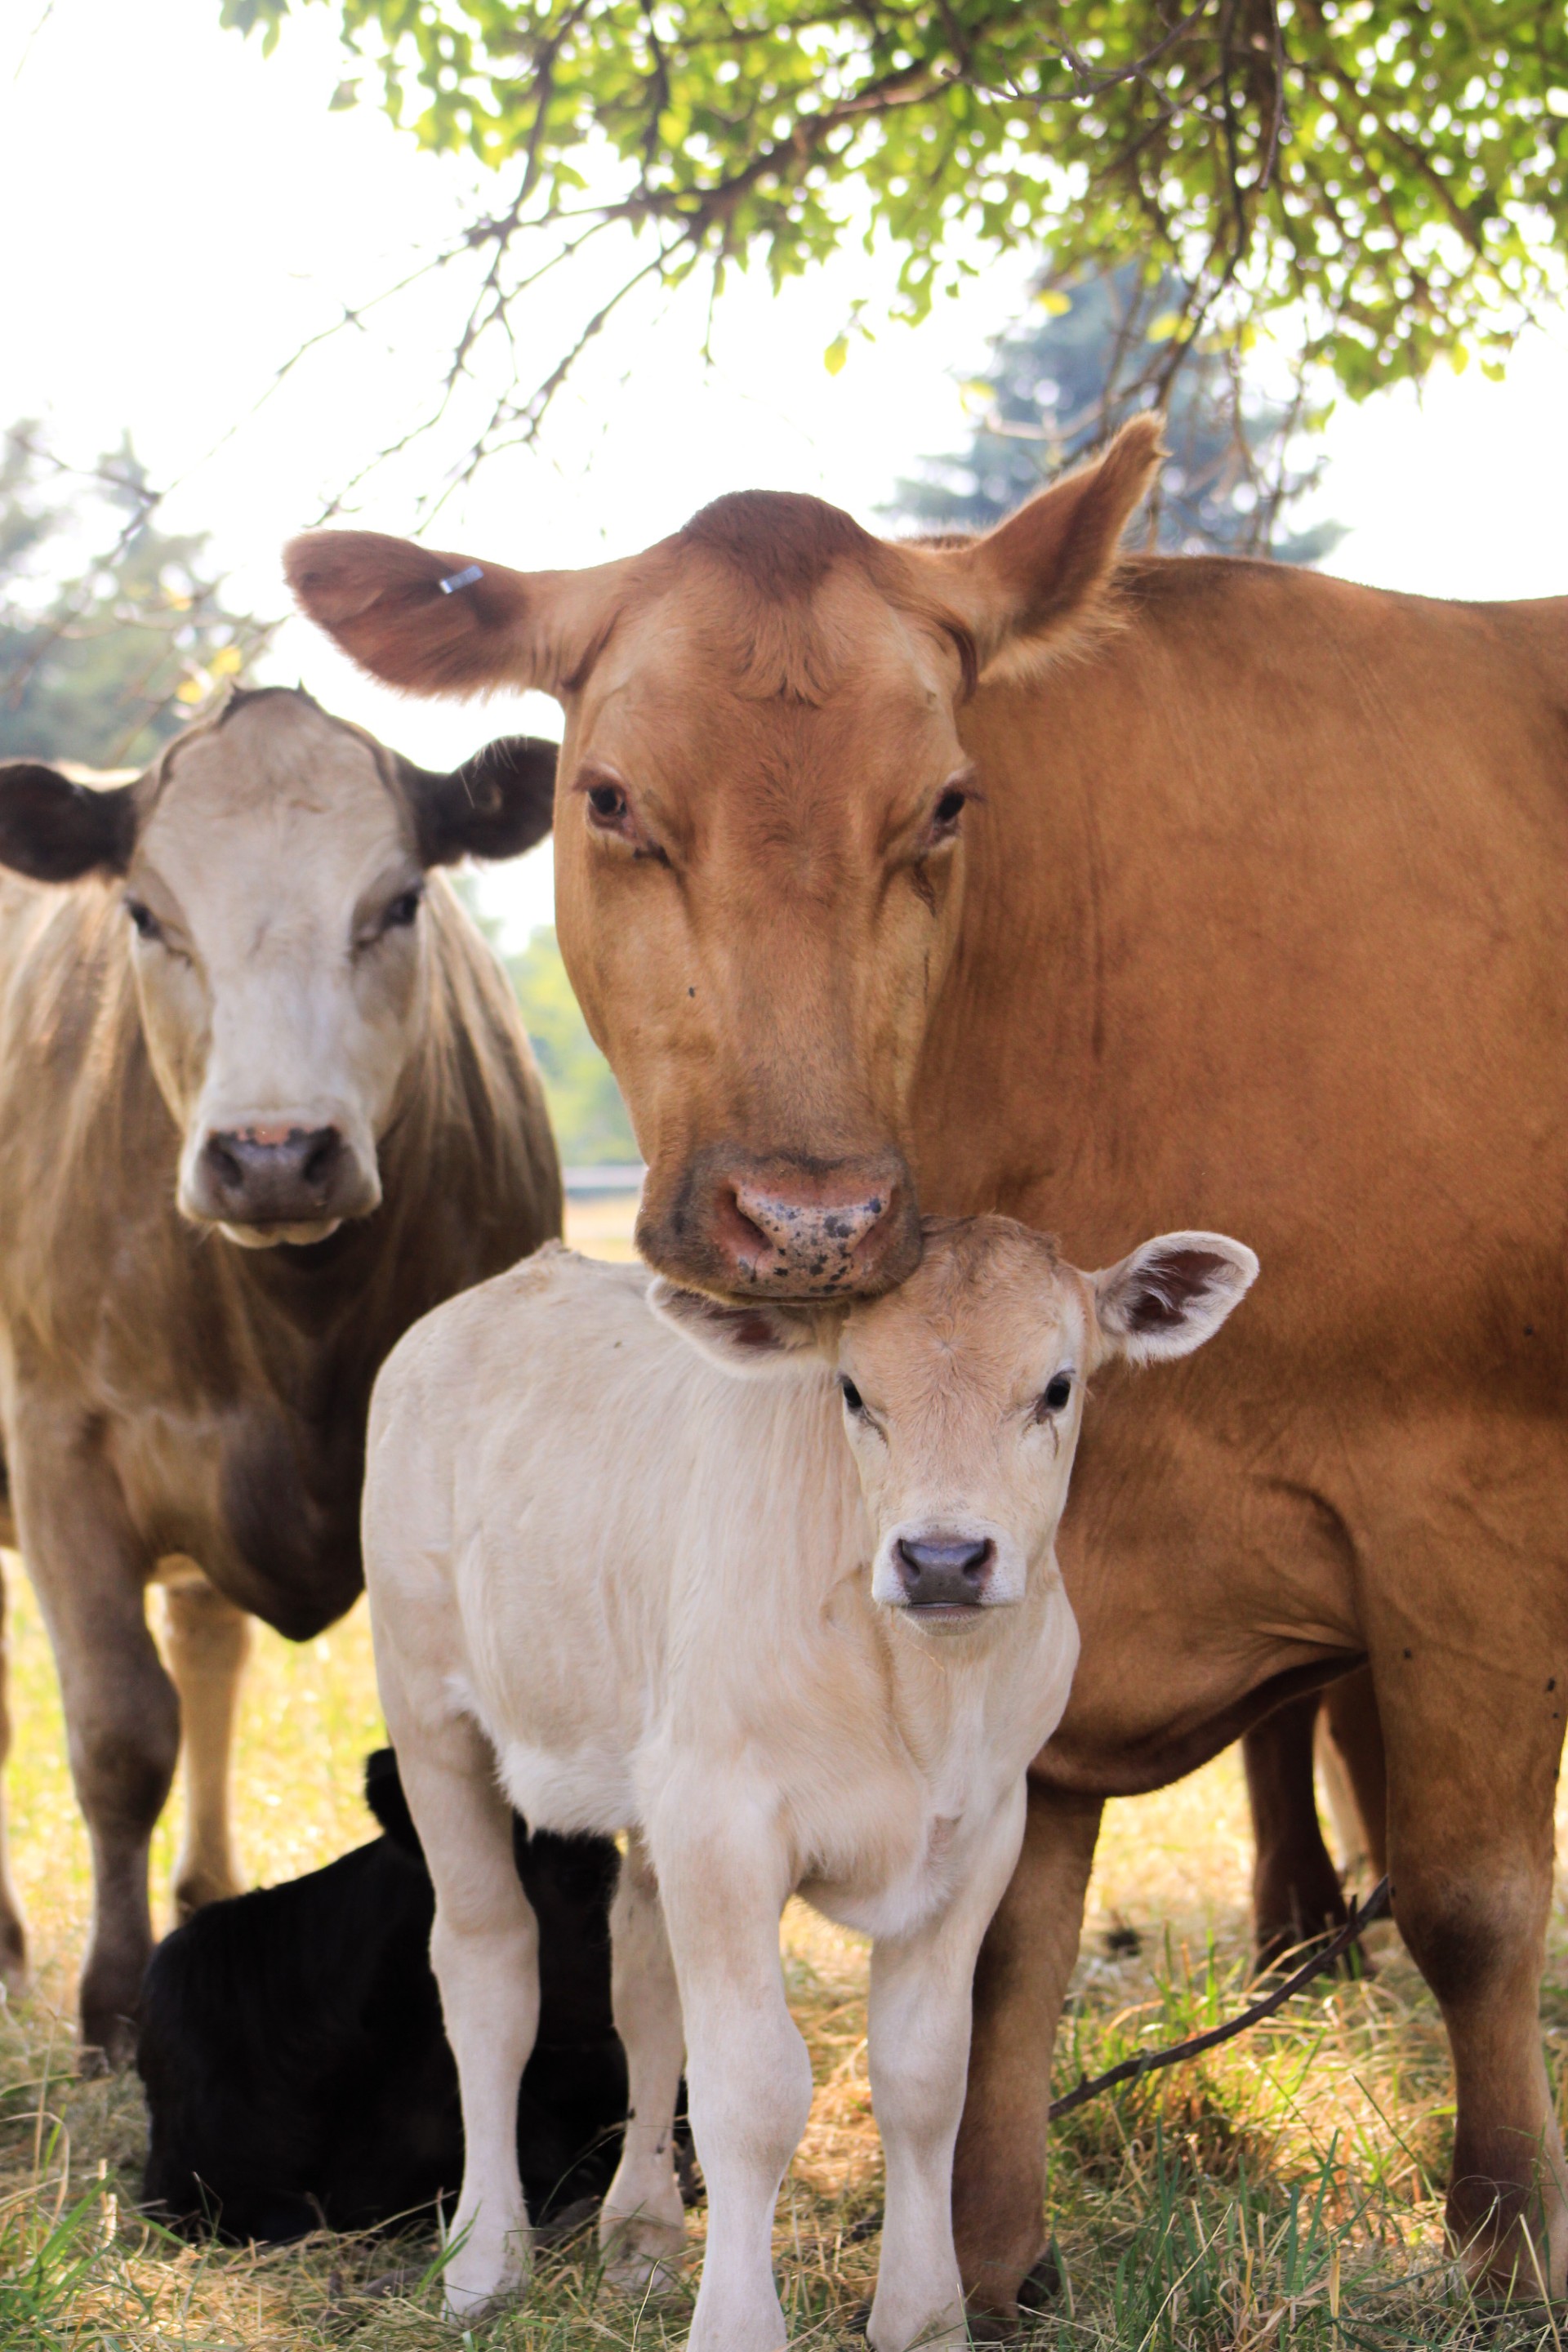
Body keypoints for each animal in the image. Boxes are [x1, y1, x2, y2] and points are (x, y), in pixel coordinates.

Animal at [0, 686, 591, 2063]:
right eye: (144, 913)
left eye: (400, 902)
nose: (273, 1154)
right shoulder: (57, 1441)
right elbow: (120, 1730)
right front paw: (113, 2005)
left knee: (208, 1646)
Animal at [363, 1219, 1256, 2348]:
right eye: (854, 1391)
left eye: (1057, 1387)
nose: (943, 1557)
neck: (924, 1696)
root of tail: (503, 1288)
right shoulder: (725, 1819)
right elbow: (754, 2089)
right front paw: (740, 2326)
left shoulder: (978, 1831)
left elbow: (924, 2076)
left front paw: (924, 2317)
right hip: (428, 1711)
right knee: (488, 1966)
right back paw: (485, 2260)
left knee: (644, 1977)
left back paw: (642, 2236)